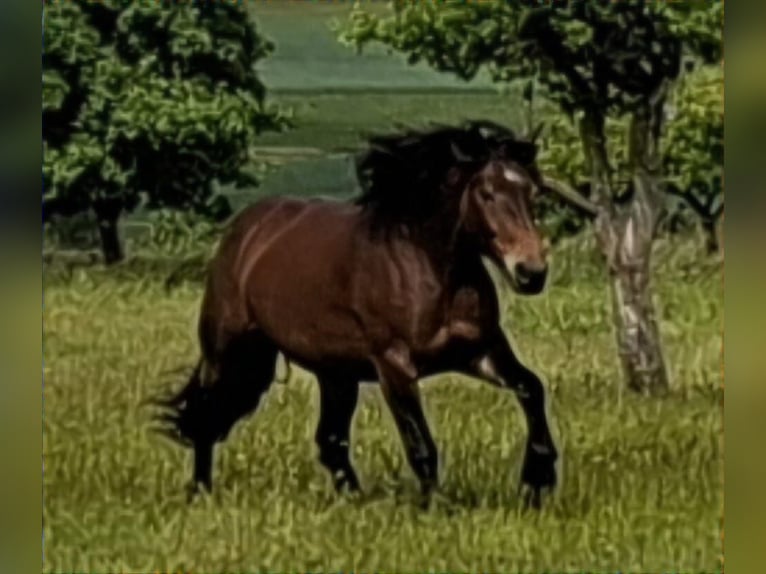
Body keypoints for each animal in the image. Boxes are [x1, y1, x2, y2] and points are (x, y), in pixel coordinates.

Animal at [154, 120, 571, 508]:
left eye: (532, 193)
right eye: (486, 193)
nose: (531, 272)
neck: (429, 269)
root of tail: (246, 230)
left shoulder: (480, 351)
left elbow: (531, 387)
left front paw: (537, 482)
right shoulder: (394, 365)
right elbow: (421, 446)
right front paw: (435, 508)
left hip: (336, 373)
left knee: (330, 441)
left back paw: (354, 501)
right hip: (226, 350)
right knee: (205, 417)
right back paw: (201, 491)